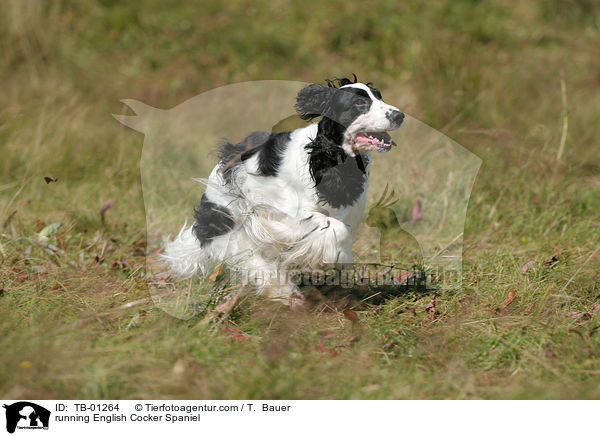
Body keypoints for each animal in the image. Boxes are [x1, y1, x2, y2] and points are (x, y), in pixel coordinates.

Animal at [165, 77, 404, 304]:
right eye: (359, 103)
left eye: (379, 96)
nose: (399, 115)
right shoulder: (286, 217)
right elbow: (333, 228)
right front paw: (341, 257)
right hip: (230, 226)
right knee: (254, 261)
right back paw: (285, 294)